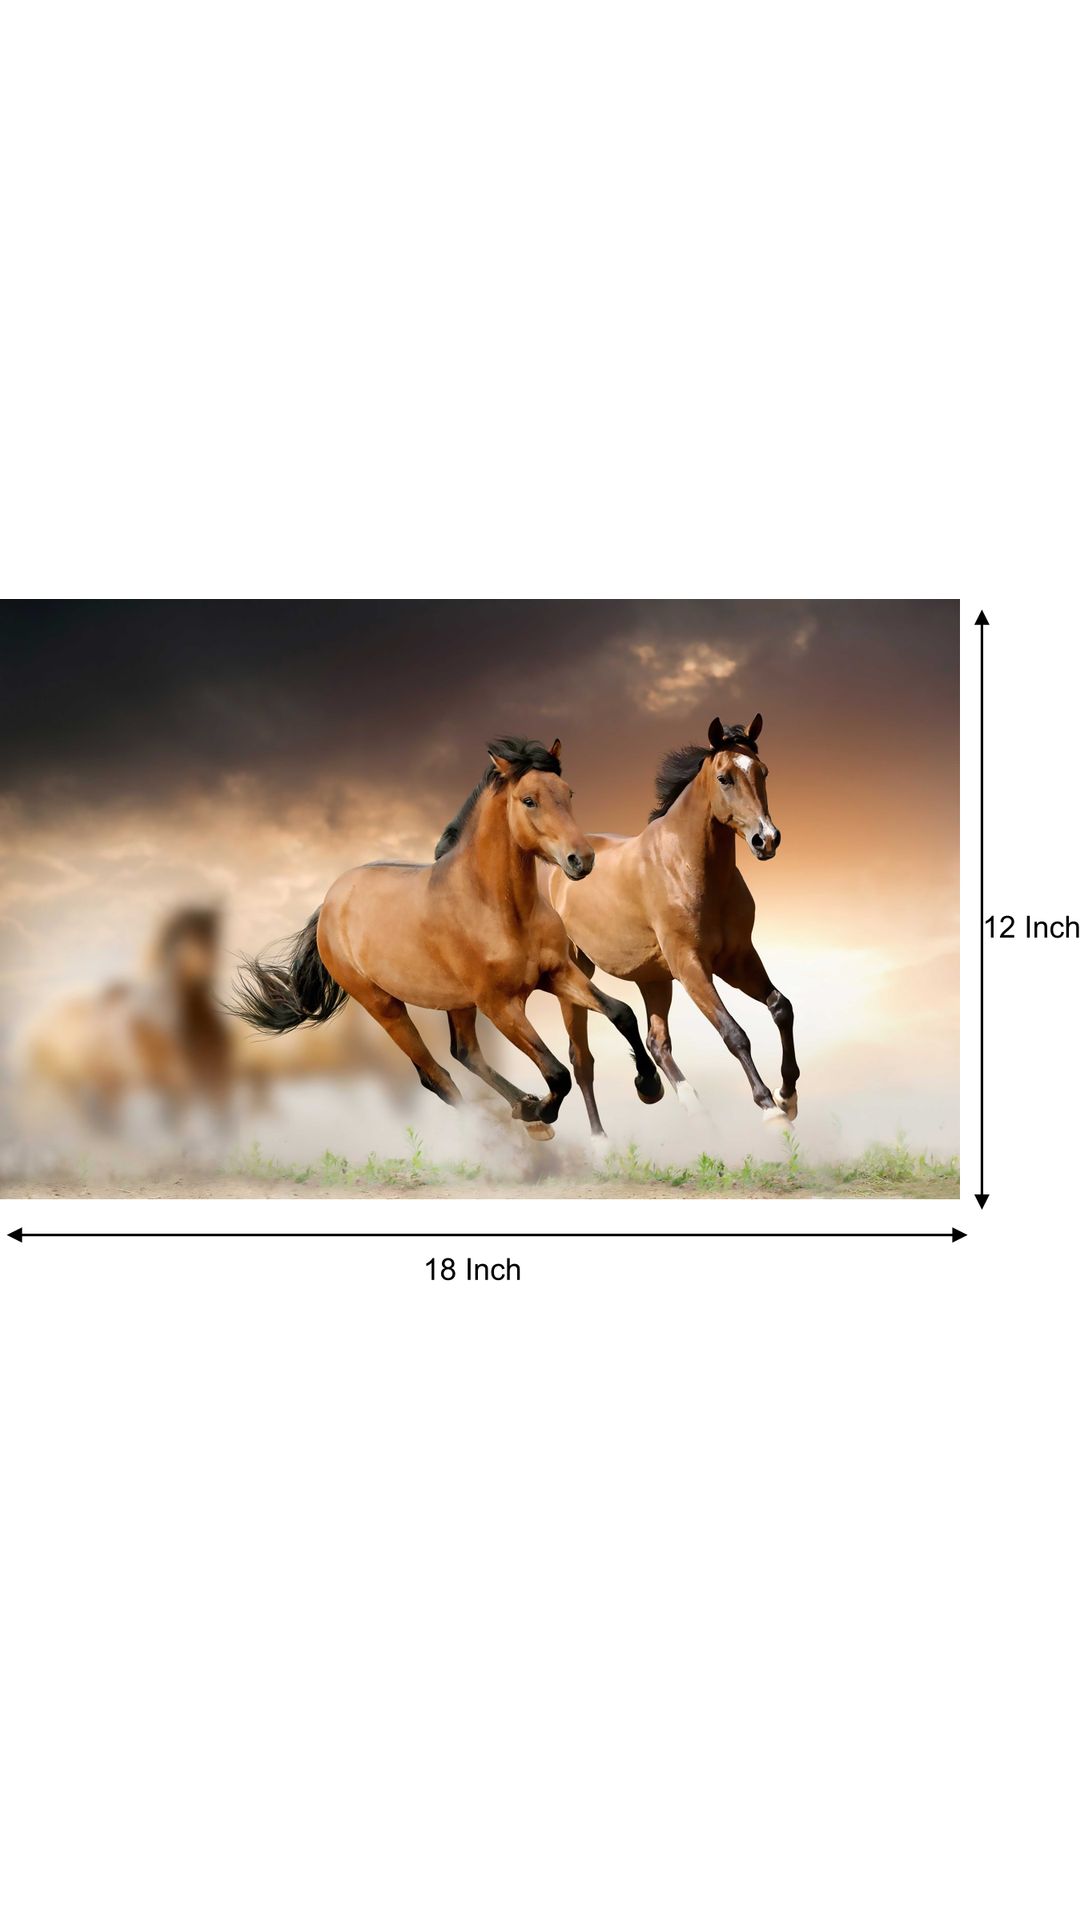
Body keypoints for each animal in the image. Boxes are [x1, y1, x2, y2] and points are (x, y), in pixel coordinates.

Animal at [232, 737, 663, 1133]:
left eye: (568, 793)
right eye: (528, 800)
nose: (581, 860)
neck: (500, 909)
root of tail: (328, 904)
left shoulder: (557, 974)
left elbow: (621, 1014)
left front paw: (649, 1086)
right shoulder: (501, 1005)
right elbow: (557, 1072)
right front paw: (542, 1111)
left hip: (457, 1002)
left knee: (465, 1052)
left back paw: (521, 1107)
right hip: (385, 1006)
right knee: (435, 1075)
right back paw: (511, 1127)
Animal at [548, 714, 799, 1136]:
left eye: (762, 771)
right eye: (725, 777)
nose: (766, 840)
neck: (687, 867)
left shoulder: (738, 959)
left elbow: (781, 1007)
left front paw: (789, 1095)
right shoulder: (691, 966)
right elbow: (734, 1033)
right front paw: (770, 1109)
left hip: (653, 978)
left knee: (656, 1042)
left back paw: (686, 1104)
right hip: (575, 976)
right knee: (581, 1060)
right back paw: (602, 1141)